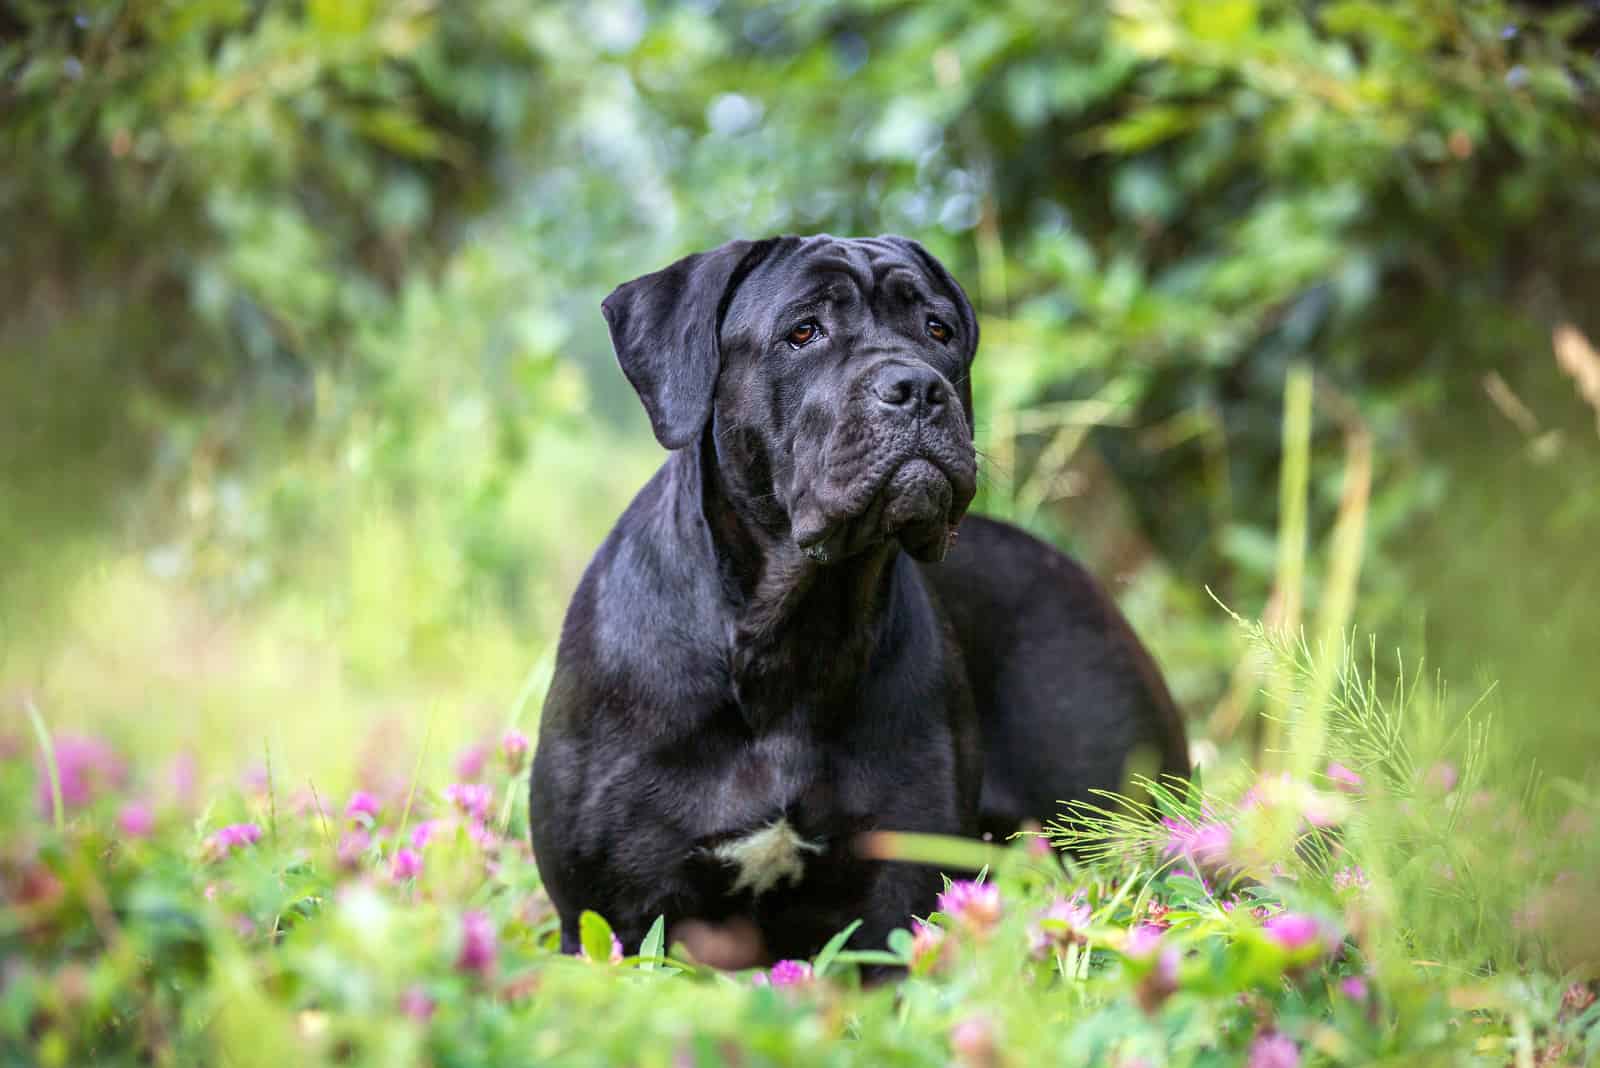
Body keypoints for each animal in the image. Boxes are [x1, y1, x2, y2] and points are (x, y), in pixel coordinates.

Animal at [528, 233, 1190, 959]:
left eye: (937, 329)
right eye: (803, 331)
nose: (919, 388)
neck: (792, 629)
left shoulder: (894, 897)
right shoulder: (619, 911)